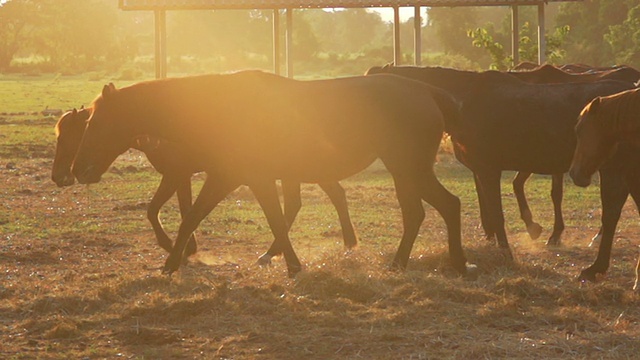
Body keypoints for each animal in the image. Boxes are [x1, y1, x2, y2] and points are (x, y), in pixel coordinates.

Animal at [51, 107, 360, 264]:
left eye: (68, 136)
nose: (59, 176)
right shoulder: (182, 175)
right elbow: (186, 208)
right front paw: (187, 246)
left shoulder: (175, 173)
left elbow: (155, 210)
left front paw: (173, 246)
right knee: (320, 197)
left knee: (320, 197)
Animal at [364, 65, 636, 262]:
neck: (463, 101)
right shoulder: (481, 170)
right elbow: (490, 209)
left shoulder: (488, 169)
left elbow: (496, 213)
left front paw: (506, 250)